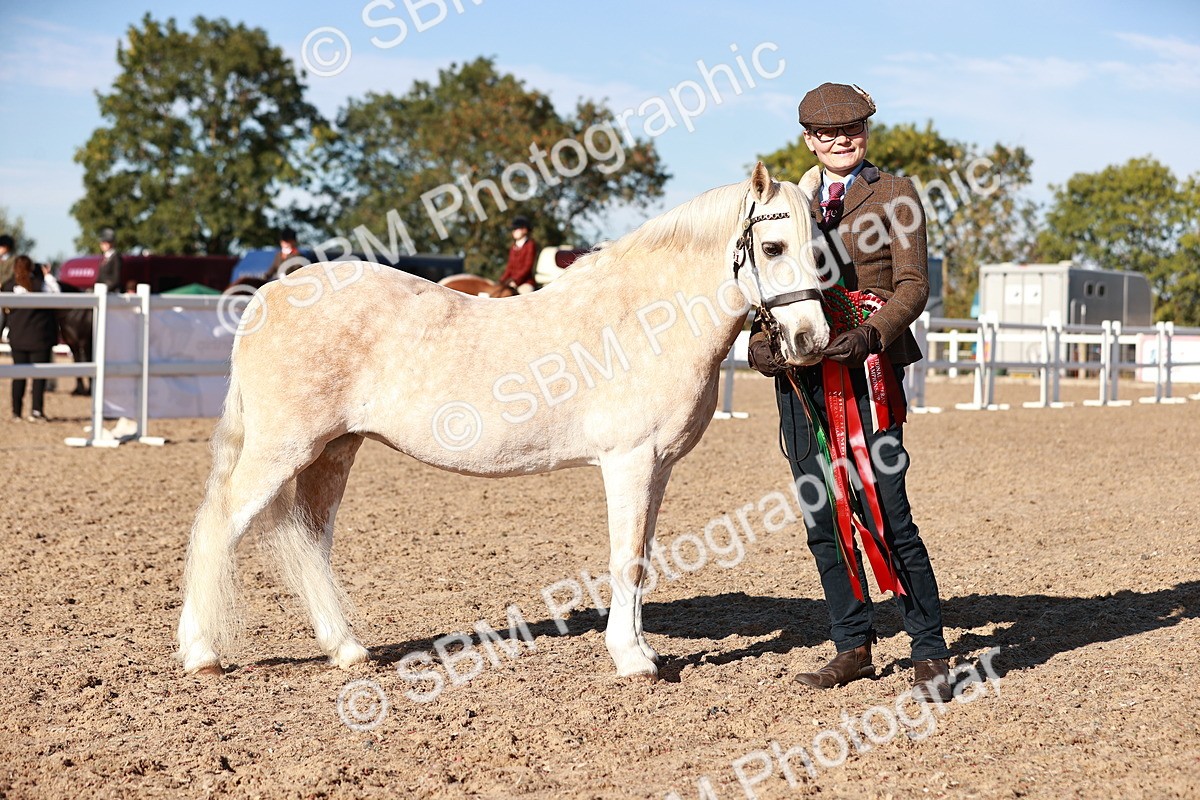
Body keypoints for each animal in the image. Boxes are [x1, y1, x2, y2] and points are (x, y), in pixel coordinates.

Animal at [177, 163, 831, 680]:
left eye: (821, 249)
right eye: (773, 248)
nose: (812, 340)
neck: (644, 317)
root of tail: (270, 297)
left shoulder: (656, 468)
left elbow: (642, 555)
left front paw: (642, 650)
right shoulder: (629, 462)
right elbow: (626, 556)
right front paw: (632, 660)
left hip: (334, 450)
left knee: (310, 540)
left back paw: (347, 651)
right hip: (281, 450)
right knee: (219, 525)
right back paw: (201, 653)